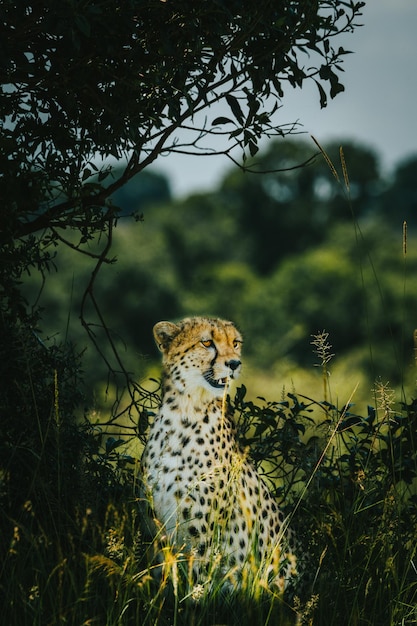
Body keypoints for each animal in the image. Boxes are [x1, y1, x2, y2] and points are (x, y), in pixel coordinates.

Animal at [141, 316, 298, 588]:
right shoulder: (158, 532)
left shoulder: (203, 539)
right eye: (207, 342)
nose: (234, 363)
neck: (183, 413)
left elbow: (196, 587)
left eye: (235, 343)